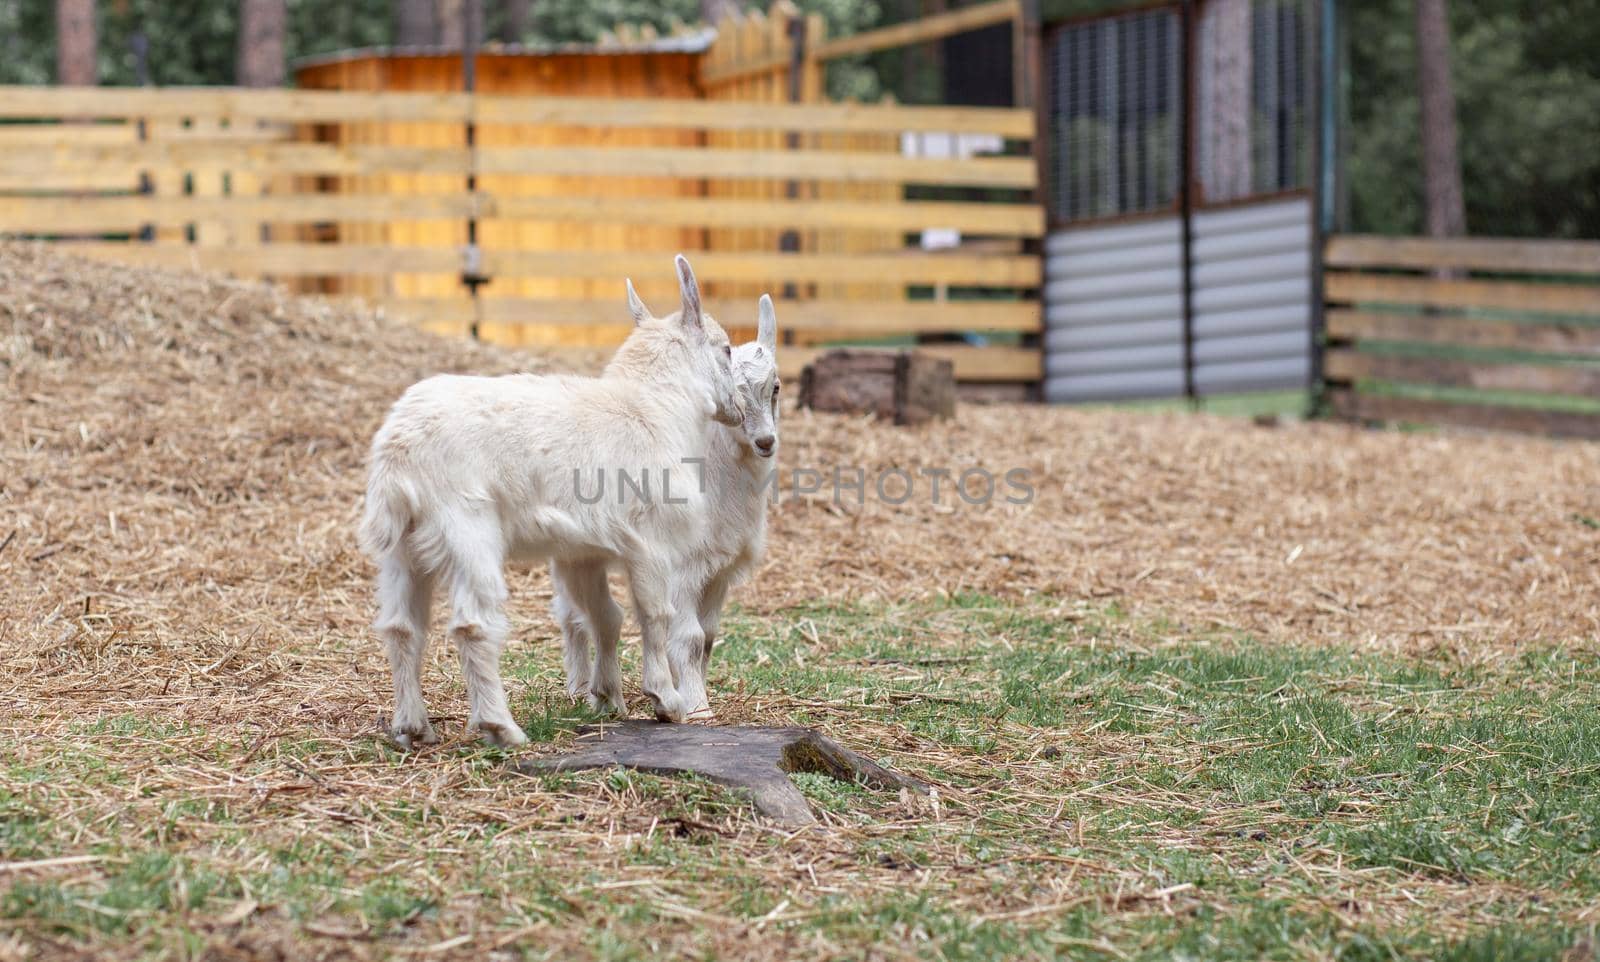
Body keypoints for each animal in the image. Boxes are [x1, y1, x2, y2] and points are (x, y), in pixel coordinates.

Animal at [356, 252, 736, 742]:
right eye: (727, 349)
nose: (738, 408)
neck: (651, 408)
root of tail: (398, 452)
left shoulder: (582, 552)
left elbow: (606, 617)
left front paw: (608, 700)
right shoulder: (652, 542)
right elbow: (655, 615)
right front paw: (666, 702)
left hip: (403, 544)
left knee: (402, 627)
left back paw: (413, 728)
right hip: (466, 527)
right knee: (474, 624)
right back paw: (501, 727)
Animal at [550, 292, 780, 720]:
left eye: (775, 386)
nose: (765, 442)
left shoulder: (719, 571)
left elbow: (708, 637)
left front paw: (696, 692)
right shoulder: (683, 567)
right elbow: (688, 636)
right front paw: (696, 707)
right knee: (571, 614)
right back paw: (579, 687)